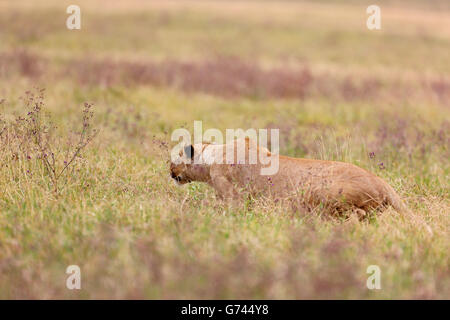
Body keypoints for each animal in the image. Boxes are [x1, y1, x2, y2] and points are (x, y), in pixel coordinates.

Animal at [170, 138, 408, 215]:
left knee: (357, 214)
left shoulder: (232, 197)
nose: (170, 171)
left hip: (319, 191)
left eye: (176, 157)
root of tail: (381, 182)